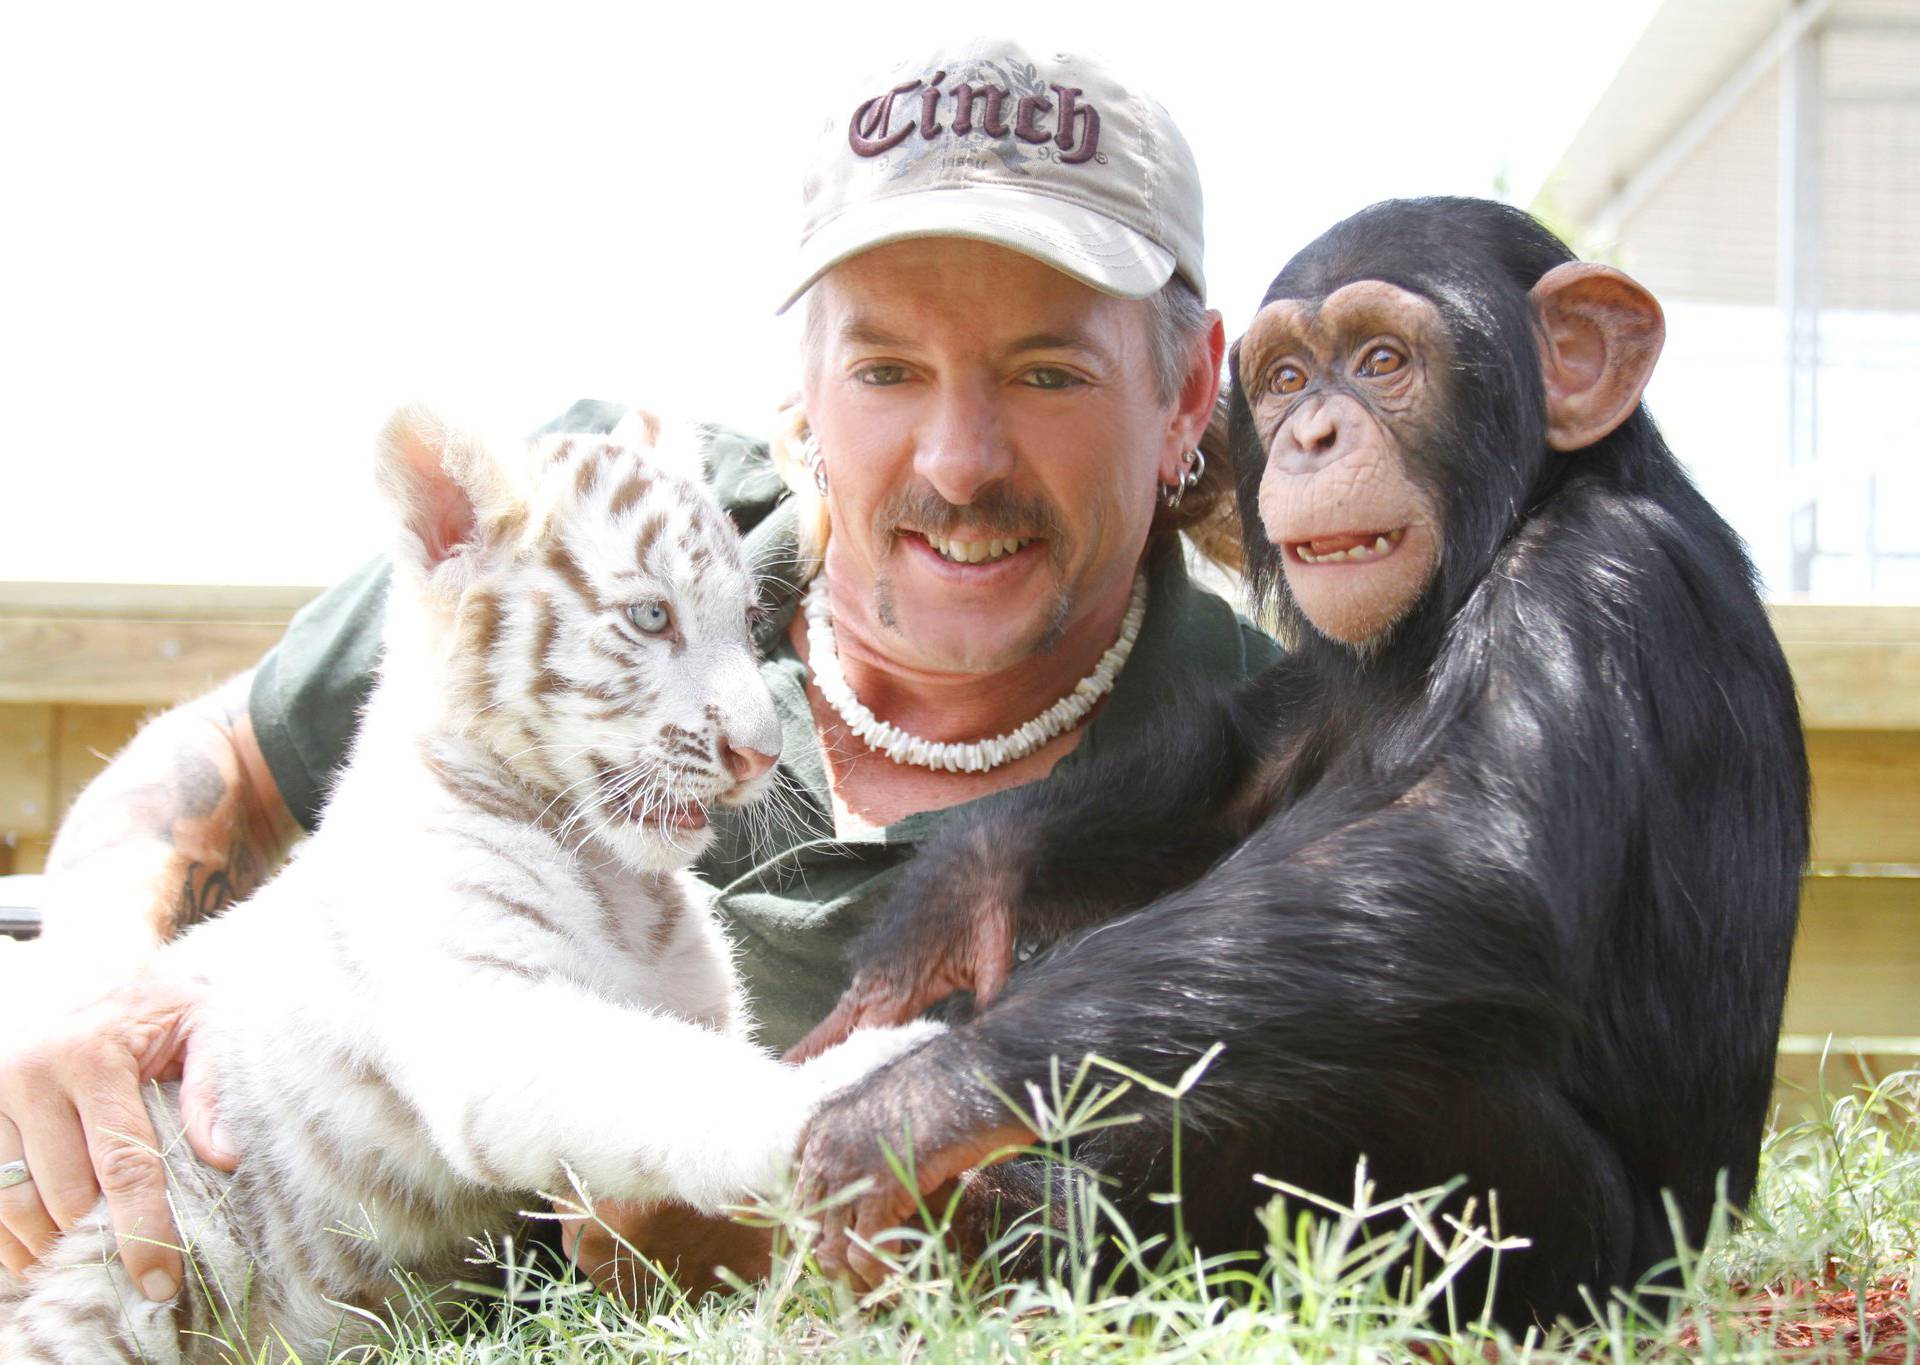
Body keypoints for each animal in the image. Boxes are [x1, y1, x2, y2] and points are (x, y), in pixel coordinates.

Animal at [787, 197, 1804, 1328]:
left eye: (1381, 360)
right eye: (1283, 378)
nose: (1314, 433)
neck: (1499, 543)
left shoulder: (1600, 582)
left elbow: (1473, 860)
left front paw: (917, 1099)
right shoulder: (1321, 677)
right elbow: (1228, 778)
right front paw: (946, 909)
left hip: (1574, 1266)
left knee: (1372, 1059)